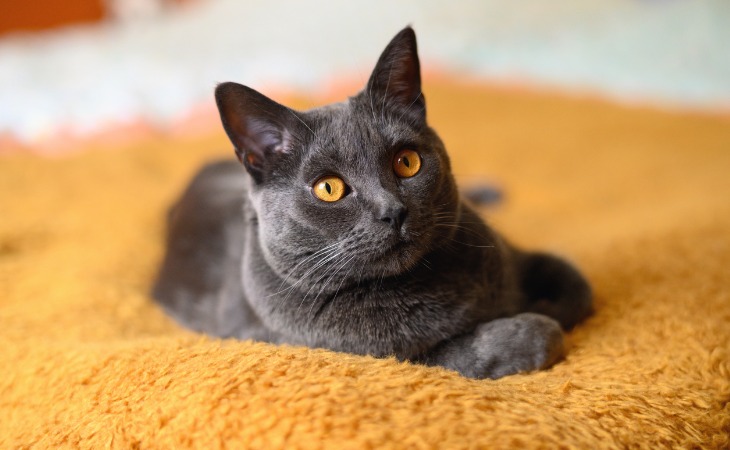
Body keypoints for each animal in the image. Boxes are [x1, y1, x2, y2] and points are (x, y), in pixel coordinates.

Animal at [154, 26, 592, 380]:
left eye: (407, 162)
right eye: (328, 188)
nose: (392, 211)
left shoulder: (514, 253)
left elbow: (574, 284)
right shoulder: (389, 356)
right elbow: (514, 338)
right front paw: (533, 319)